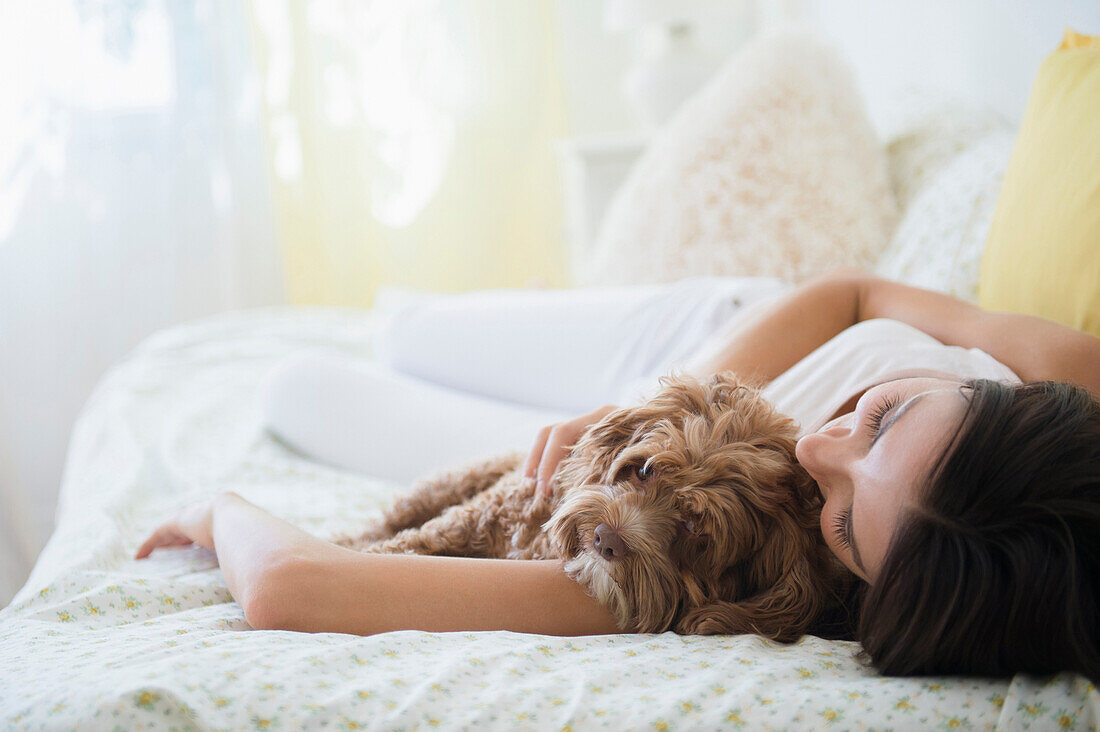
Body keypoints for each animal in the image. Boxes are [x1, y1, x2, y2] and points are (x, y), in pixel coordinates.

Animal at [332, 374, 849, 638]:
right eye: (644, 471)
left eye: (695, 529)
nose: (606, 539)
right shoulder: (462, 522)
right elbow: (399, 545)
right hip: (448, 487)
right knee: (390, 521)